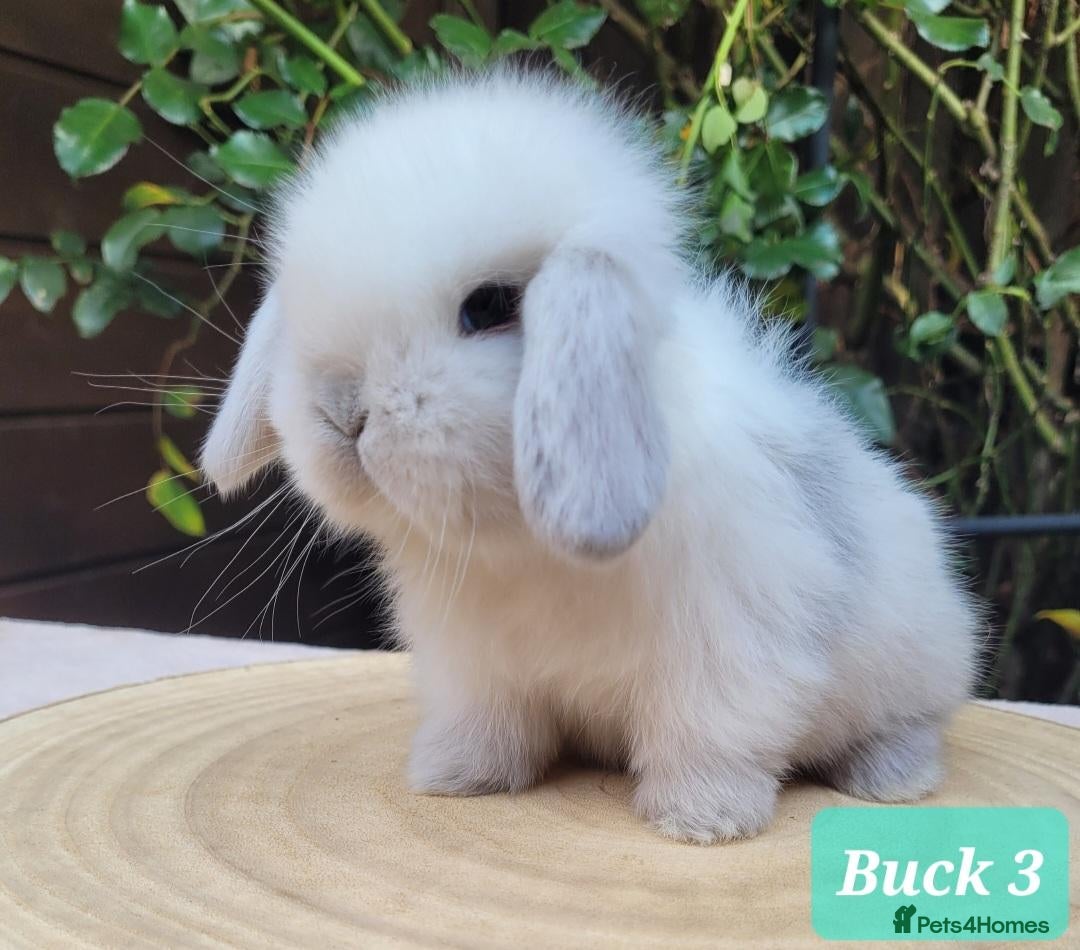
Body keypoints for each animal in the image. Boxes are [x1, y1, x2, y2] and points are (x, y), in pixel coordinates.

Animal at [201, 69, 980, 844]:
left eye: (489, 306)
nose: (342, 413)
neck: (520, 545)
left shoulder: (724, 654)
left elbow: (709, 737)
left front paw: (702, 820)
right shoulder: (476, 666)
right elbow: (487, 725)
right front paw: (455, 778)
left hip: (914, 667)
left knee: (911, 726)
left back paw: (890, 778)